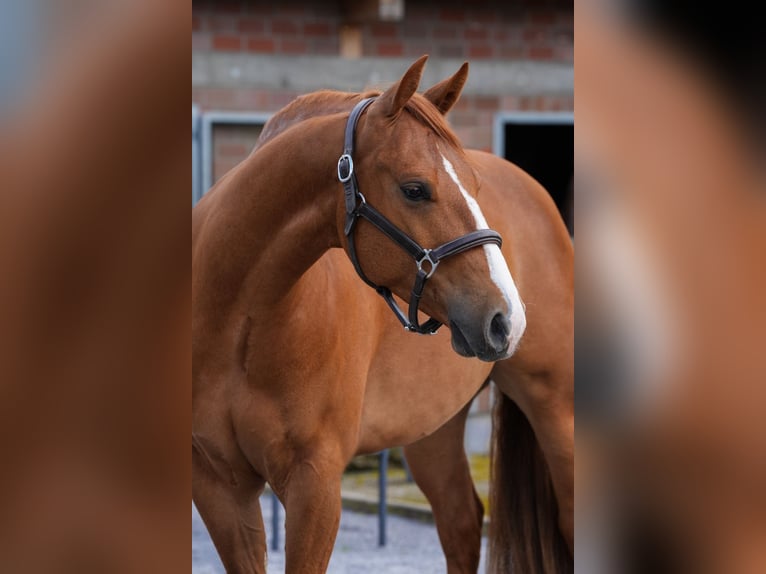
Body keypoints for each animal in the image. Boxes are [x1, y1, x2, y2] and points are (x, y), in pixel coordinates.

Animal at [192, 55, 572, 573]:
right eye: (414, 189)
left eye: (475, 186)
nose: (506, 320)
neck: (237, 323)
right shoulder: (219, 487)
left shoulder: (315, 483)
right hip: (432, 429)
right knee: (461, 522)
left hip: (556, 408)